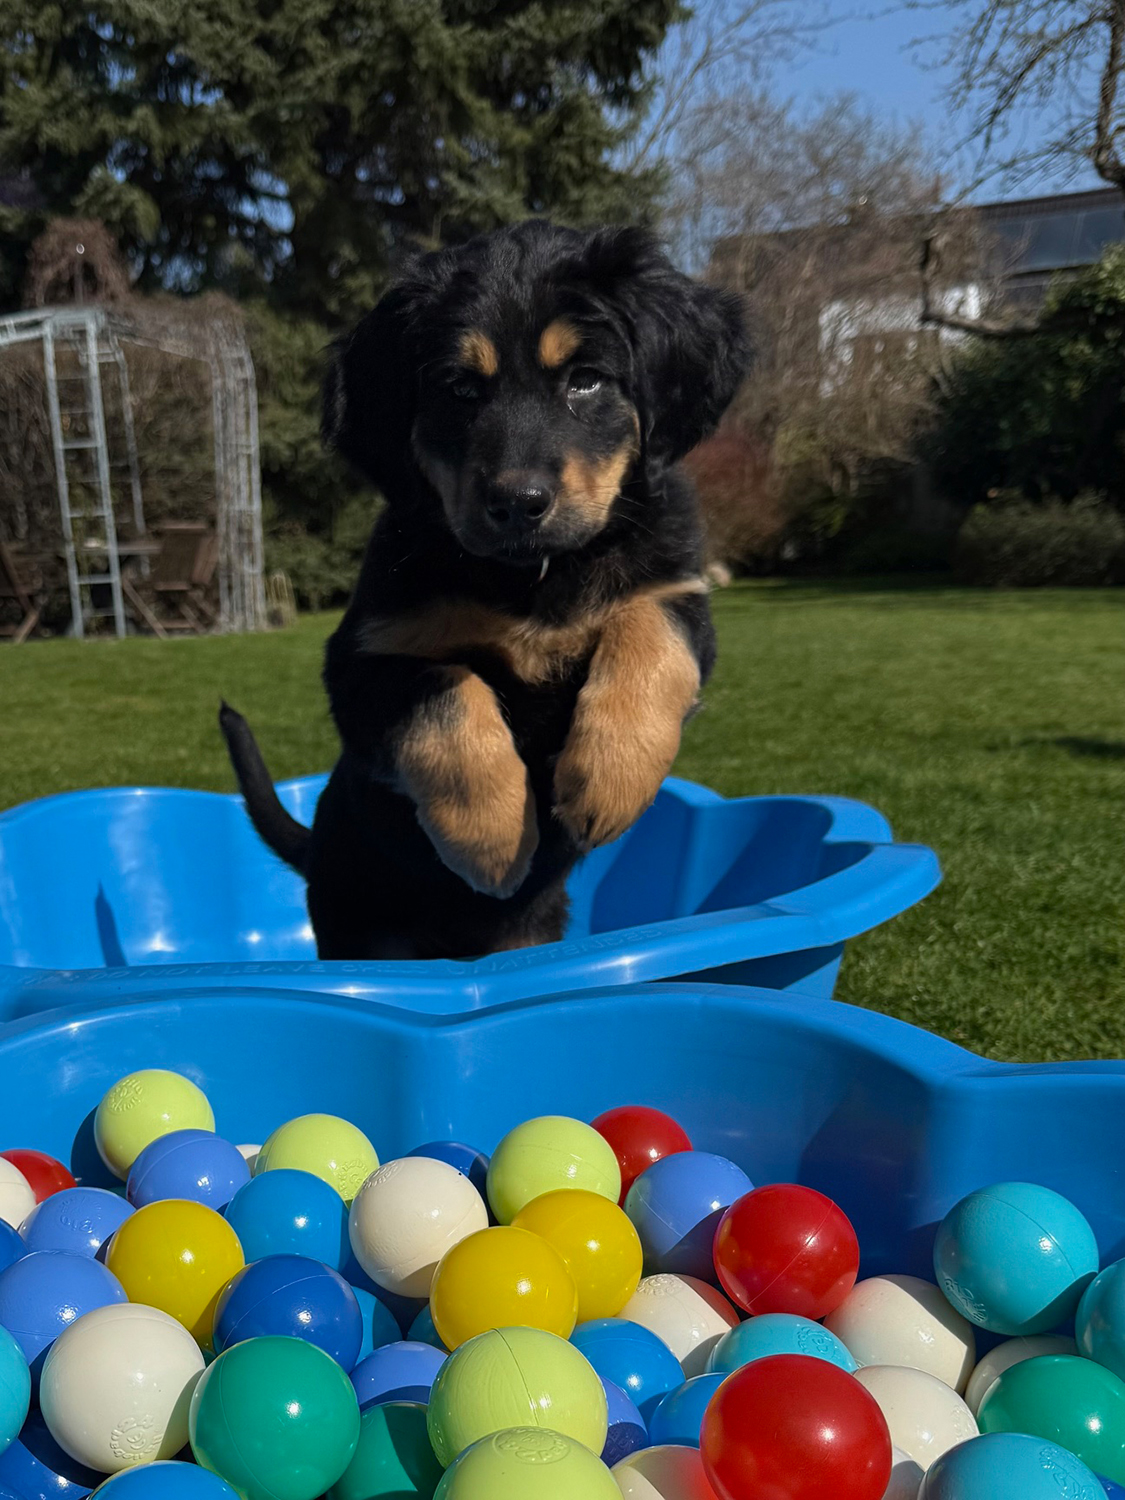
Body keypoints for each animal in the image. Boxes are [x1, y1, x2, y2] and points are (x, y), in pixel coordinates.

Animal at [221, 220, 749, 960]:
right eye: (459, 390)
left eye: (586, 381)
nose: (517, 504)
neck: (533, 577)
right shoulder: (361, 660)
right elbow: (443, 690)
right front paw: (491, 836)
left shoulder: (678, 590)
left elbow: (650, 637)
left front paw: (610, 779)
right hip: (361, 930)